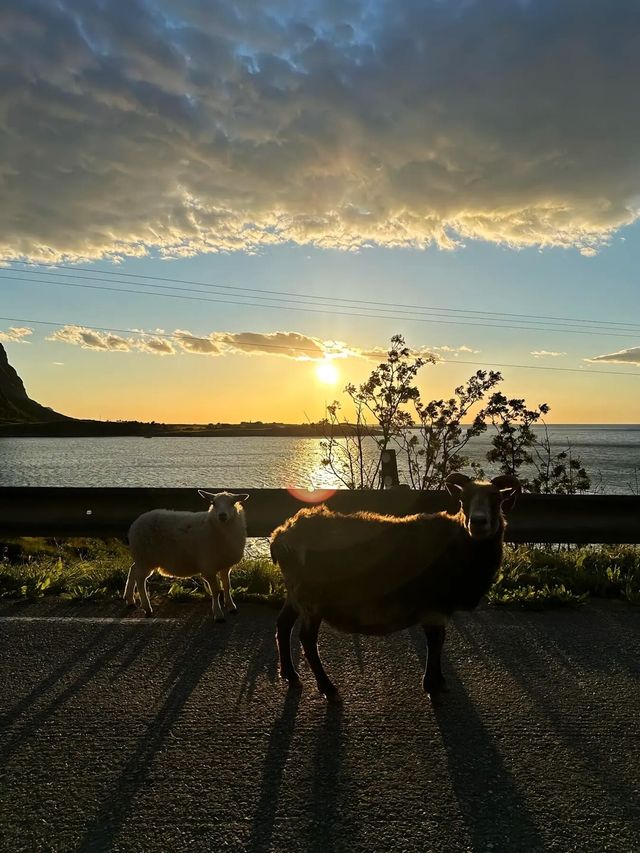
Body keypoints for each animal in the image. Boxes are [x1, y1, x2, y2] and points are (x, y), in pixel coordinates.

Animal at [124, 492, 249, 620]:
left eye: (232, 502)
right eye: (213, 503)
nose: (222, 515)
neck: (215, 527)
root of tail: (135, 523)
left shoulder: (225, 565)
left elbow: (227, 586)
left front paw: (231, 607)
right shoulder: (208, 566)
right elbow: (216, 591)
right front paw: (218, 614)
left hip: (142, 559)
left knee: (133, 570)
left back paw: (130, 600)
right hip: (145, 558)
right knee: (140, 580)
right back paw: (147, 608)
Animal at [268, 472, 520, 700]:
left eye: (497, 499)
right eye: (463, 499)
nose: (477, 522)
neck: (460, 545)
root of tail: (280, 535)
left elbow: (440, 640)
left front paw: (439, 681)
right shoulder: (433, 606)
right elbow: (435, 641)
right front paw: (432, 685)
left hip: (295, 593)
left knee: (283, 624)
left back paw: (290, 675)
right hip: (311, 598)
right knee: (307, 640)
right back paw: (327, 688)